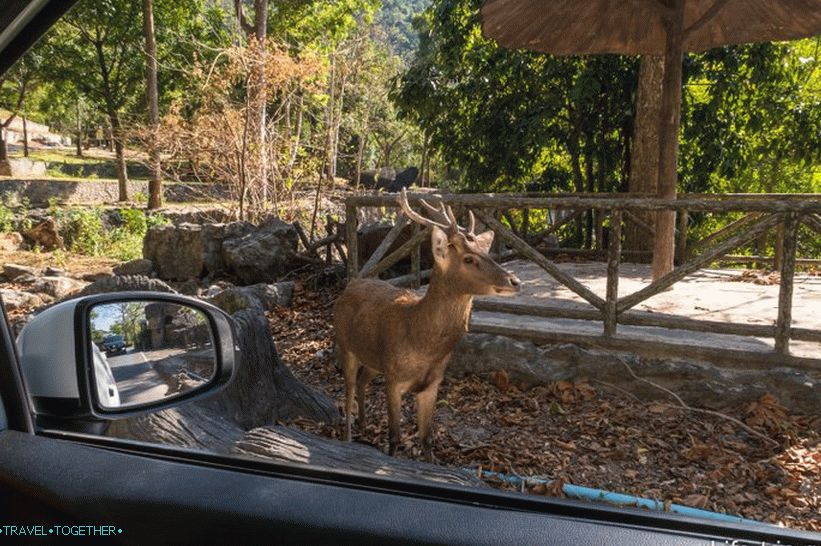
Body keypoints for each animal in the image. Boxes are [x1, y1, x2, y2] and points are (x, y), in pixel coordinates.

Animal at [332, 187, 520, 460]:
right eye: (468, 259)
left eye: (486, 252)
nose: (514, 281)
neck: (421, 341)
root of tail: (350, 285)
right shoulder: (394, 380)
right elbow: (395, 436)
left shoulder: (432, 384)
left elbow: (427, 438)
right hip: (345, 345)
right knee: (347, 393)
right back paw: (348, 436)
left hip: (375, 359)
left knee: (363, 380)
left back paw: (364, 423)